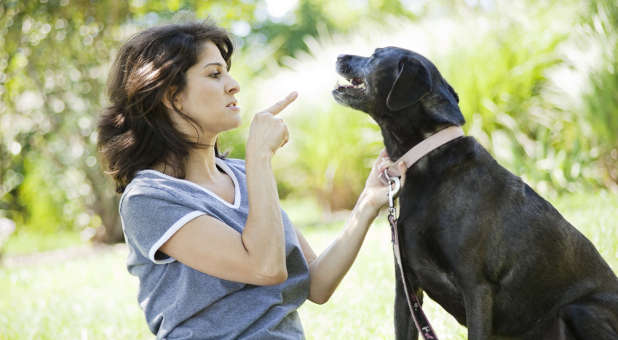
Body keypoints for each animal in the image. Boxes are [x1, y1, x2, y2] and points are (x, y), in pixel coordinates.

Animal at [332, 47, 616, 340]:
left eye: (376, 55)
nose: (339, 55)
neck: (428, 158)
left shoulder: (476, 287)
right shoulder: (406, 290)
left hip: (579, 309)